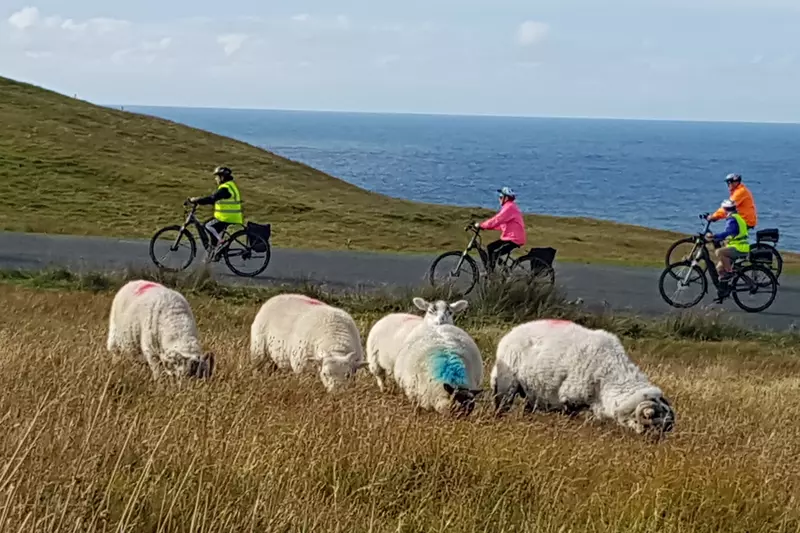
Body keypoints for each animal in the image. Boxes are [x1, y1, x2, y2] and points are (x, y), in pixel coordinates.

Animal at [490, 319, 674, 435]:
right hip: (507, 385)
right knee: (502, 407)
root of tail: (510, 334)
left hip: (532, 391)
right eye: (655, 426)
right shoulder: (570, 399)